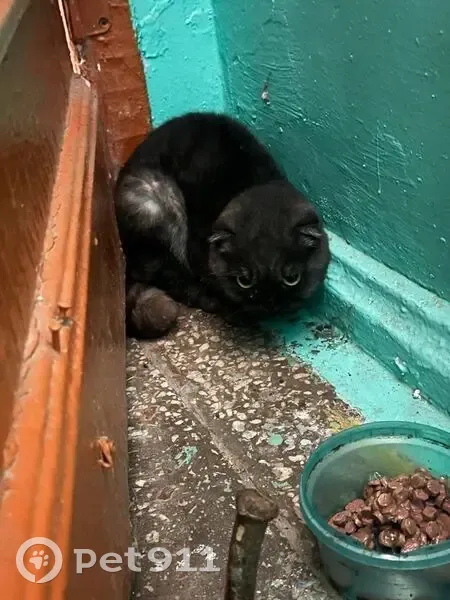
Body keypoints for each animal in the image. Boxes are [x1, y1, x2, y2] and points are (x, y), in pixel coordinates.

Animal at [114, 112, 330, 338]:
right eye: (244, 282)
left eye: (292, 278)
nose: (269, 304)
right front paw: (230, 309)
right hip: (152, 204)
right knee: (166, 275)